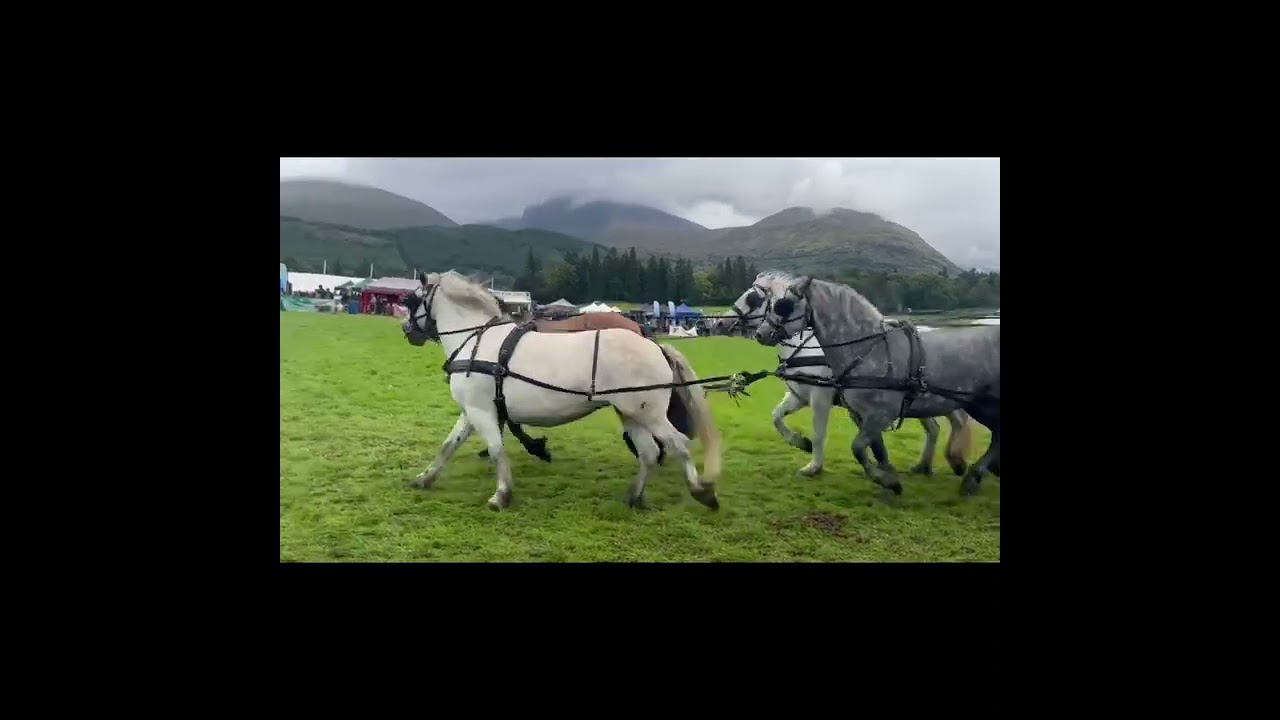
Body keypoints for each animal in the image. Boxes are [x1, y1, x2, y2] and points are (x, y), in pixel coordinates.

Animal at [401, 270, 722, 511]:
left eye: (412, 301)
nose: (406, 329)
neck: (477, 340)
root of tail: (655, 346)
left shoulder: (482, 412)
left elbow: (496, 450)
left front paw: (501, 495)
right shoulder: (474, 411)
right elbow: (448, 446)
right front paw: (425, 479)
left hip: (650, 414)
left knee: (678, 444)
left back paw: (702, 492)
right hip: (631, 413)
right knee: (649, 452)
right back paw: (635, 497)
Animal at [751, 272, 999, 496]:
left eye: (783, 305)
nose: (760, 333)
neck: (869, 350)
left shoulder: (878, 413)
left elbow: (855, 447)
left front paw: (887, 481)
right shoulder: (859, 414)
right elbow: (875, 449)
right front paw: (887, 475)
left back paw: (969, 473)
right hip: (974, 405)